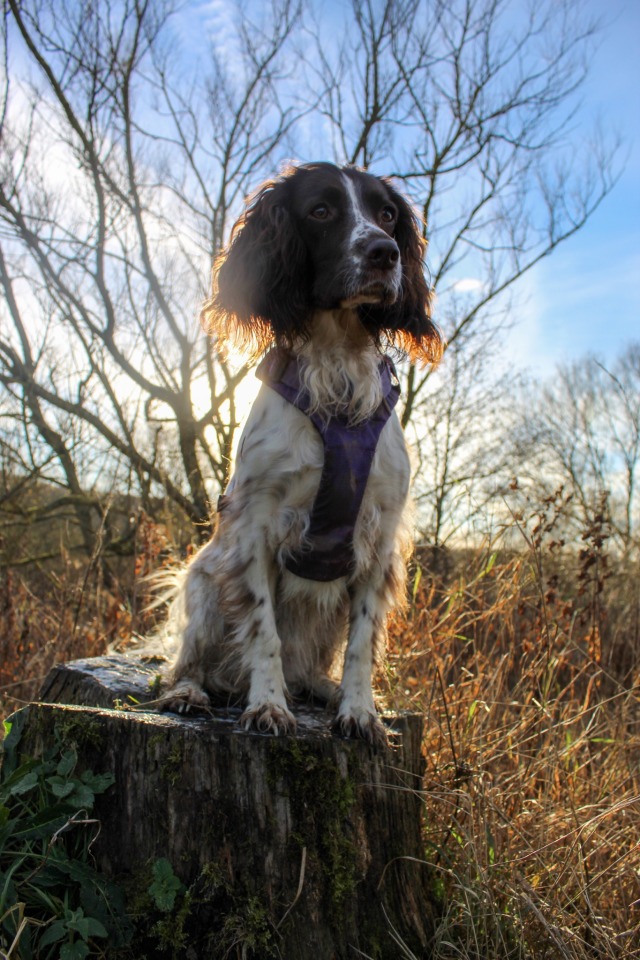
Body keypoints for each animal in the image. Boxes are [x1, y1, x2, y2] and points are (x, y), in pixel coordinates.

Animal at [160, 161, 442, 748]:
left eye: (387, 214)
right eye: (321, 211)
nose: (385, 252)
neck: (336, 365)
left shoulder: (381, 537)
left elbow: (362, 643)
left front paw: (360, 712)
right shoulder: (253, 525)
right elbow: (264, 631)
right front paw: (268, 706)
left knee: (311, 665)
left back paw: (323, 689)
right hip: (202, 582)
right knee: (186, 661)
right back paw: (190, 693)